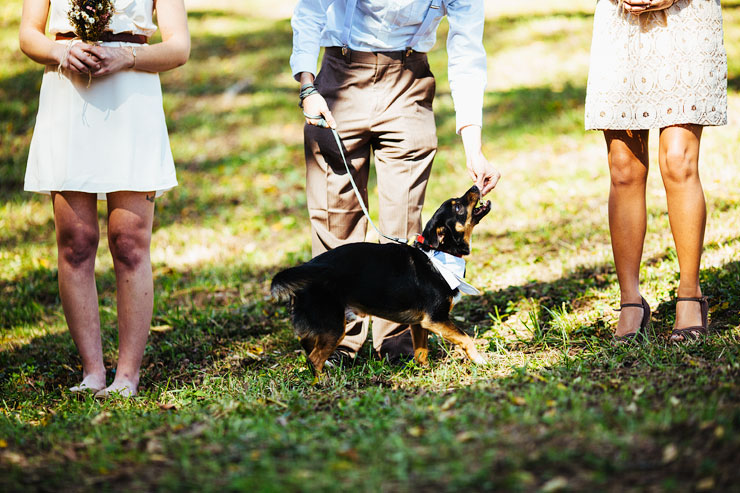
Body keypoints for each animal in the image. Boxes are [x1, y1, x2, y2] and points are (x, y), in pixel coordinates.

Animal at [272, 184, 492, 372]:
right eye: (457, 207)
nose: (475, 186)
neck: (438, 256)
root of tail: (306, 270)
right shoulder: (435, 319)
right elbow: (465, 338)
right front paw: (480, 360)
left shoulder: (419, 324)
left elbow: (421, 351)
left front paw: (423, 372)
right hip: (333, 326)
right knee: (314, 359)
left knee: (308, 349)